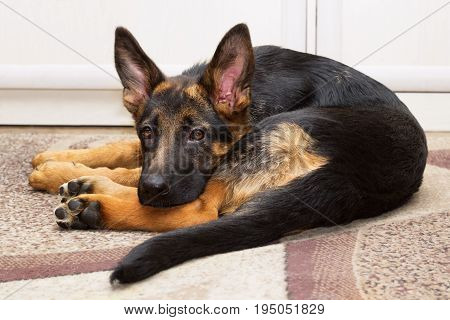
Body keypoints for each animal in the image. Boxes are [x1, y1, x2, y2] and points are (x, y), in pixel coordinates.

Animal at [29, 23, 426, 282]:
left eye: (198, 134)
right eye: (147, 132)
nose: (153, 189)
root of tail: (352, 175)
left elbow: (139, 175)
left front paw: (63, 172)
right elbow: (125, 149)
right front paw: (53, 162)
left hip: (271, 134)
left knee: (198, 210)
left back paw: (93, 203)